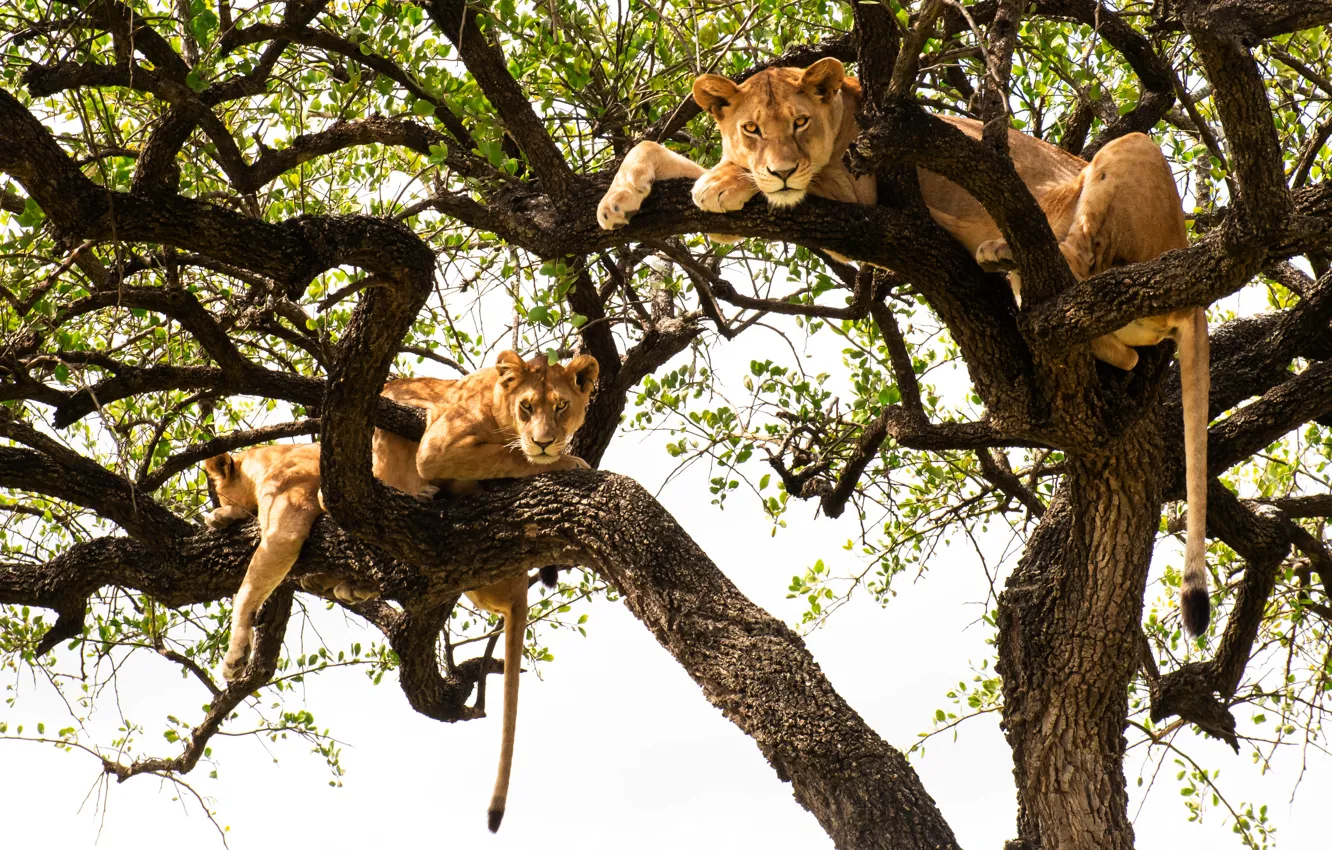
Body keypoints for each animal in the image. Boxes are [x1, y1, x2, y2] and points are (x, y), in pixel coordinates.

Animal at [202, 350, 599, 831]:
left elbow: (250, 586)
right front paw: (221, 520)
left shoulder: (288, 516)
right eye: (528, 406)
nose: (545, 441)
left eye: (560, 407)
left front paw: (235, 654)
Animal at [598, 57, 1210, 635]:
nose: (781, 167)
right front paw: (616, 202)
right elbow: (649, 147)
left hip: (1132, 150)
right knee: (1120, 349)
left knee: (1077, 258)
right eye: (750, 128)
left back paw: (996, 246)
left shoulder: (855, 192)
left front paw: (722, 181)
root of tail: (1191, 290)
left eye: (799, 123)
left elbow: (774, 186)